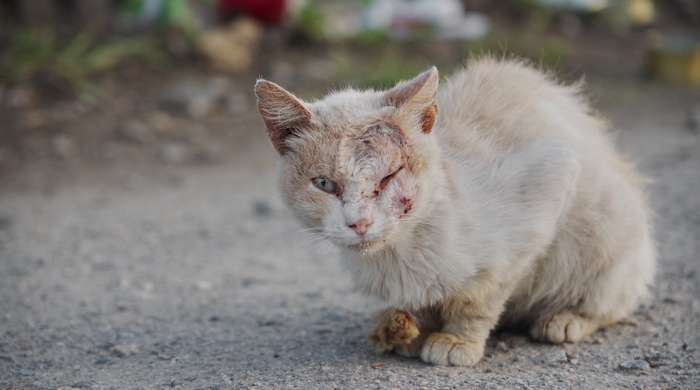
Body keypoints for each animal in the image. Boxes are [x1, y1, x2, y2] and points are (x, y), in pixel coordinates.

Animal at [253, 57, 656, 366]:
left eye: (389, 176)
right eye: (324, 184)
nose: (359, 222)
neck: (401, 251)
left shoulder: (548, 185)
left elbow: (480, 297)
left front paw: (457, 340)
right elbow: (426, 302)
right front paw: (415, 329)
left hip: (607, 237)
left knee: (615, 300)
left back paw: (566, 319)